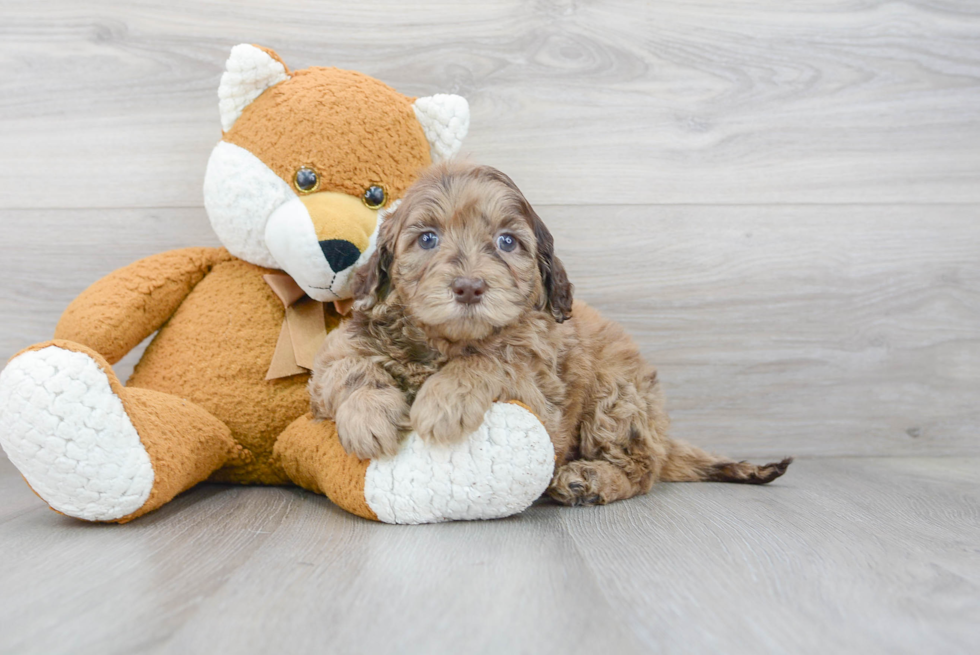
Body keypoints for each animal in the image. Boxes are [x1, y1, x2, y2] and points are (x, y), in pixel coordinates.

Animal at [310, 163, 792, 508]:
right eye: (427, 239)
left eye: (507, 242)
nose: (469, 287)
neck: (448, 342)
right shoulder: (338, 353)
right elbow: (349, 368)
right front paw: (367, 417)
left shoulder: (540, 390)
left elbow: (490, 360)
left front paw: (444, 400)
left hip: (618, 397)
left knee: (642, 469)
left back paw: (592, 479)